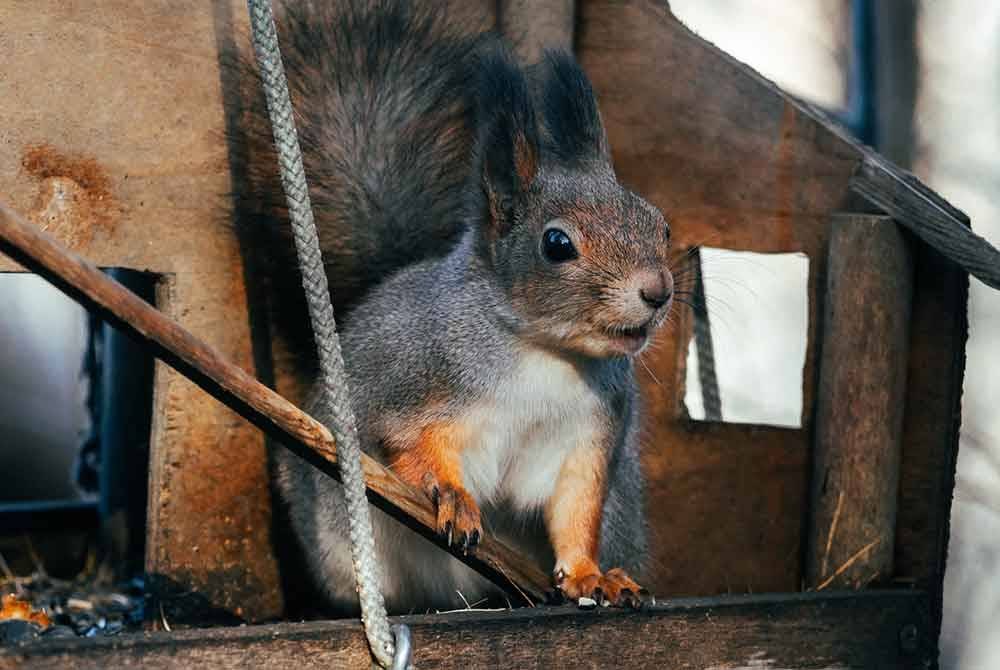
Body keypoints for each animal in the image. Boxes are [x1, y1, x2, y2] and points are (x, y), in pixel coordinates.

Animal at [233, 1, 672, 620]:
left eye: (660, 225)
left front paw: (591, 576)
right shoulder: (412, 384)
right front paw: (453, 497)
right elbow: (409, 444)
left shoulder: (588, 438)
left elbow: (576, 511)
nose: (658, 292)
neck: (544, 350)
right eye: (557, 244)